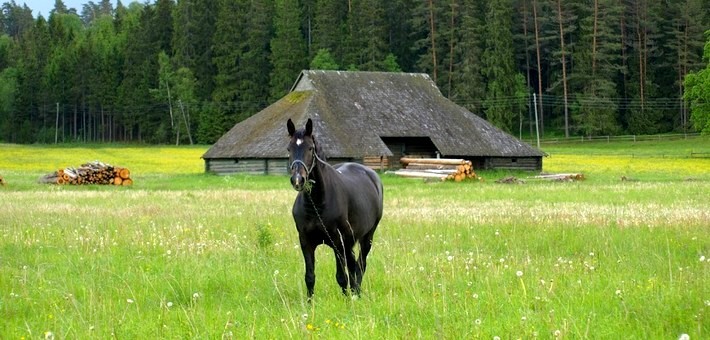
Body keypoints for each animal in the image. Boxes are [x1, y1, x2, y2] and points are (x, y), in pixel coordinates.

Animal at [286, 118, 384, 298]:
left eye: (310, 148)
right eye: (289, 149)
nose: (298, 180)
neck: (316, 204)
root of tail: (372, 174)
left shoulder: (337, 242)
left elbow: (341, 277)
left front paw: (346, 301)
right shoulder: (306, 241)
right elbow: (310, 277)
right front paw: (310, 304)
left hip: (367, 237)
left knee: (360, 265)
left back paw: (356, 293)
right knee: (353, 265)